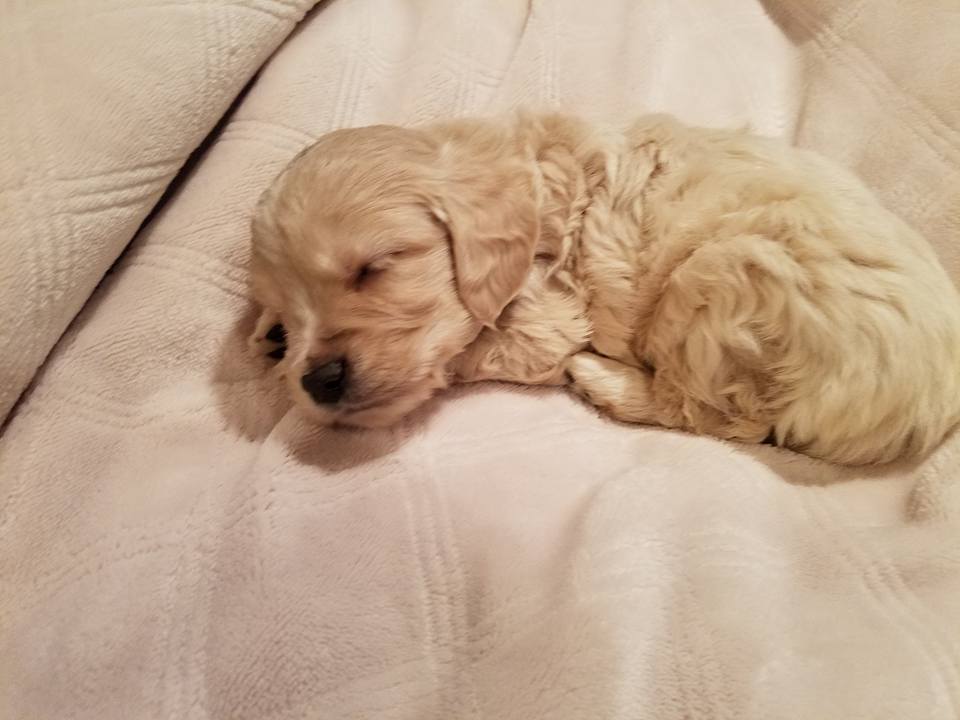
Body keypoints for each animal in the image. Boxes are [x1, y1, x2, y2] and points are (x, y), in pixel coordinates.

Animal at [249, 114, 960, 464]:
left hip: (722, 278)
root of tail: (930, 414)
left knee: (719, 417)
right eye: (285, 312)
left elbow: (469, 354)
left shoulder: (547, 315)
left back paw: (604, 381)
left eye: (375, 267)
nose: (318, 380)